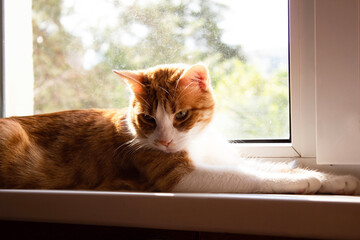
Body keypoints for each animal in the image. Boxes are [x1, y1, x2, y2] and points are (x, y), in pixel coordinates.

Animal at [0, 62, 360, 194]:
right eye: (148, 118)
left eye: (181, 115)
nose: (164, 141)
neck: (196, 142)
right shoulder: (178, 176)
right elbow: (249, 177)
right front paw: (304, 181)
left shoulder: (221, 158)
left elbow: (276, 167)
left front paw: (337, 179)